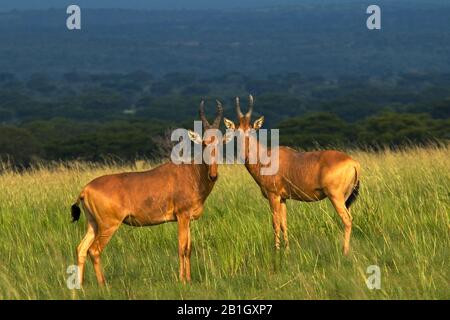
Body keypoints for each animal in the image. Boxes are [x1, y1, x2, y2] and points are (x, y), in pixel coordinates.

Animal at [72, 100, 230, 284]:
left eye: (220, 144)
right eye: (204, 143)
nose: (213, 175)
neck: (191, 173)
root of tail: (86, 189)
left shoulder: (188, 219)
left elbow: (189, 249)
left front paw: (189, 279)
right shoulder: (182, 216)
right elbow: (181, 247)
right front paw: (182, 280)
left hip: (93, 224)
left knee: (81, 248)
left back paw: (80, 285)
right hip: (108, 226)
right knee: (94, 250)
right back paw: (103, 285)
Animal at [223, 95, 360, 255]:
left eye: (251, 130)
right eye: (237, 131)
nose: (244, 153)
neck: (266, 156)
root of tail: (353, 162)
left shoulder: (273, 196)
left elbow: (275, 223)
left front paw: (276, 251)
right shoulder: (283, 198)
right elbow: (284, 223)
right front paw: (287, 250)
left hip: (336, 197)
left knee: (347, 220)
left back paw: (345, 252)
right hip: (346, 198)